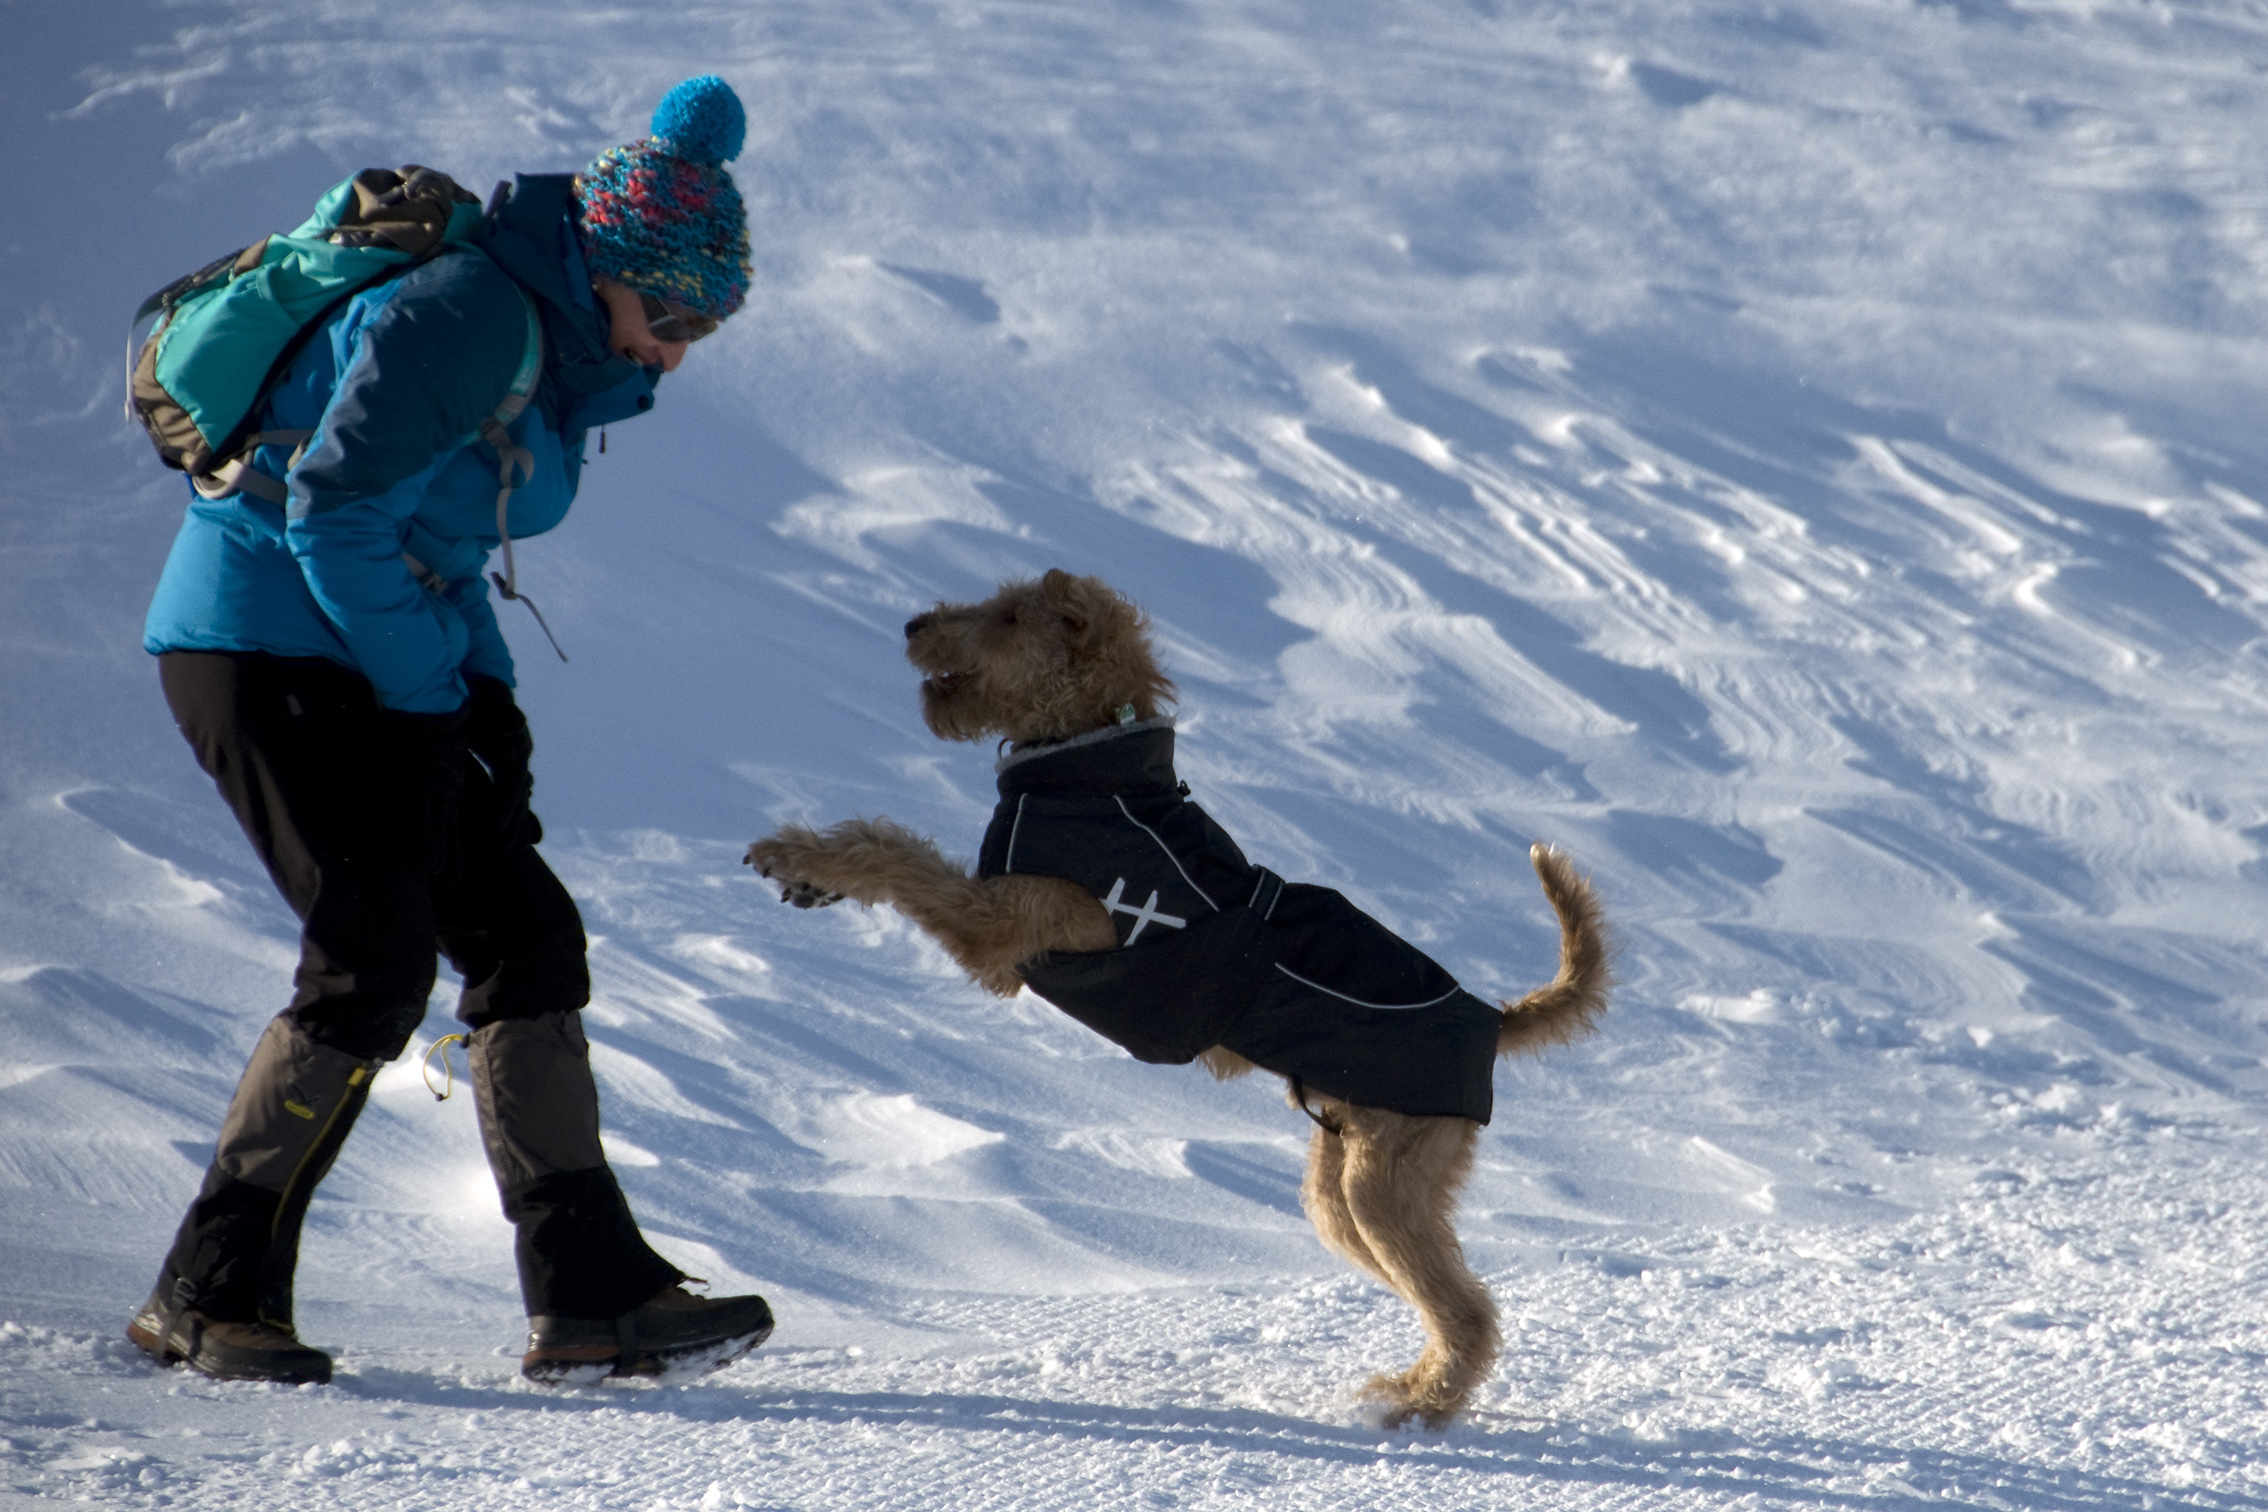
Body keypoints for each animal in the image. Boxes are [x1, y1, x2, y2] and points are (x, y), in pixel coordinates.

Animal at [748, 571, 1614, 1432]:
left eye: (1010, 616)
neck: (1088, 760)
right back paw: (1412, 1387)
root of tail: (1491, 1019)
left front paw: (797, 856)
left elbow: (896, 854)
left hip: (1382, 1183)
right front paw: (812, 879)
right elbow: (894, 848)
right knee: (1443, 1296)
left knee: (1468, 1309)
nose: (912, 624)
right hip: (1343, 1187)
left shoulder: (1004, 924)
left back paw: (1419, 1407)